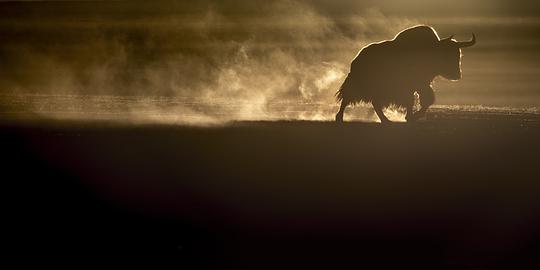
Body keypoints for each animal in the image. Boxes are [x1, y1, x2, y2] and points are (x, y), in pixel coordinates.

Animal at [336, 25, 474, 122]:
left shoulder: (421, 85)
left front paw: (412, 117)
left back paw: (386, 120)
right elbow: (413, 101)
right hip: (360, 86)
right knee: (347, 98)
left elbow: (425, 100)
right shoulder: (411, 86)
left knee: (374, 103)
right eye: (446, 54)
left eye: (459, 54)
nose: (457, 75)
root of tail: (357, 58)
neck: (430, 50)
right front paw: (411, 117)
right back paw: (339, 117)